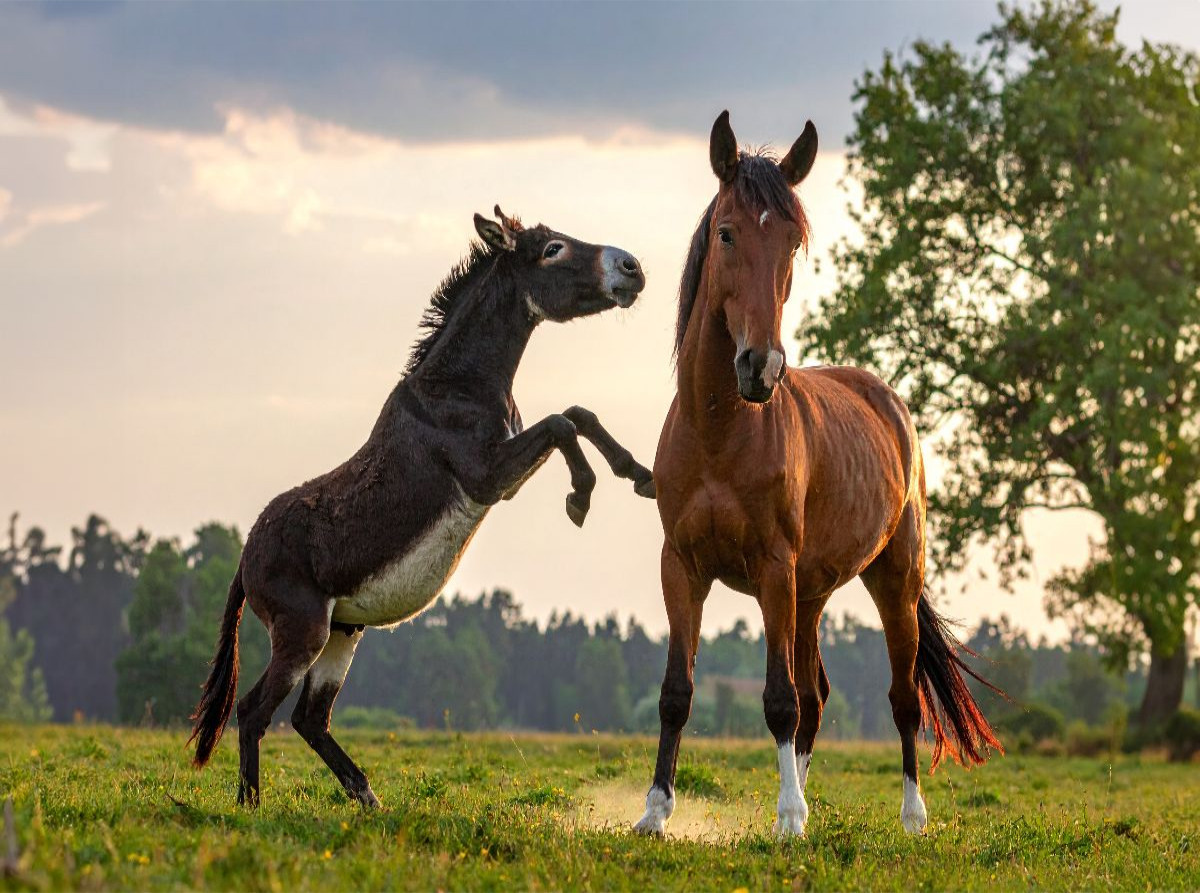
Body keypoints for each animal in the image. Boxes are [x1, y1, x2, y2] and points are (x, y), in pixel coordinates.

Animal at [189, 207, 656, 808]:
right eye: (553, 249)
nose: (632, 267)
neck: (458, 385)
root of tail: (245, 559)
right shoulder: (486, 478)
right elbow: (561, 423)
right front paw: (582, 494)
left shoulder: (506, 469)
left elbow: (578, 414)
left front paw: (638, 474)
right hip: (302, 631)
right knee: (253, 712)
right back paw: (252, 807)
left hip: (342, 632)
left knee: (310, 719)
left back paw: (368, 800)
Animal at [634, 112, 1001, 839]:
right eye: (727, 232)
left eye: (793, 242)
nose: (761, 366)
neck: (719, 432)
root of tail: (889, 403)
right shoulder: (681, 567)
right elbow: (677, 692)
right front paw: (656, 811)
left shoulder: (774, 568)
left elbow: (778, 700)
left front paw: (787, 820)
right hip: (811, 594)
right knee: (817, 694)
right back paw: (801, 797)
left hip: (890, 579)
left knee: (897, 696)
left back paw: (908, 814)